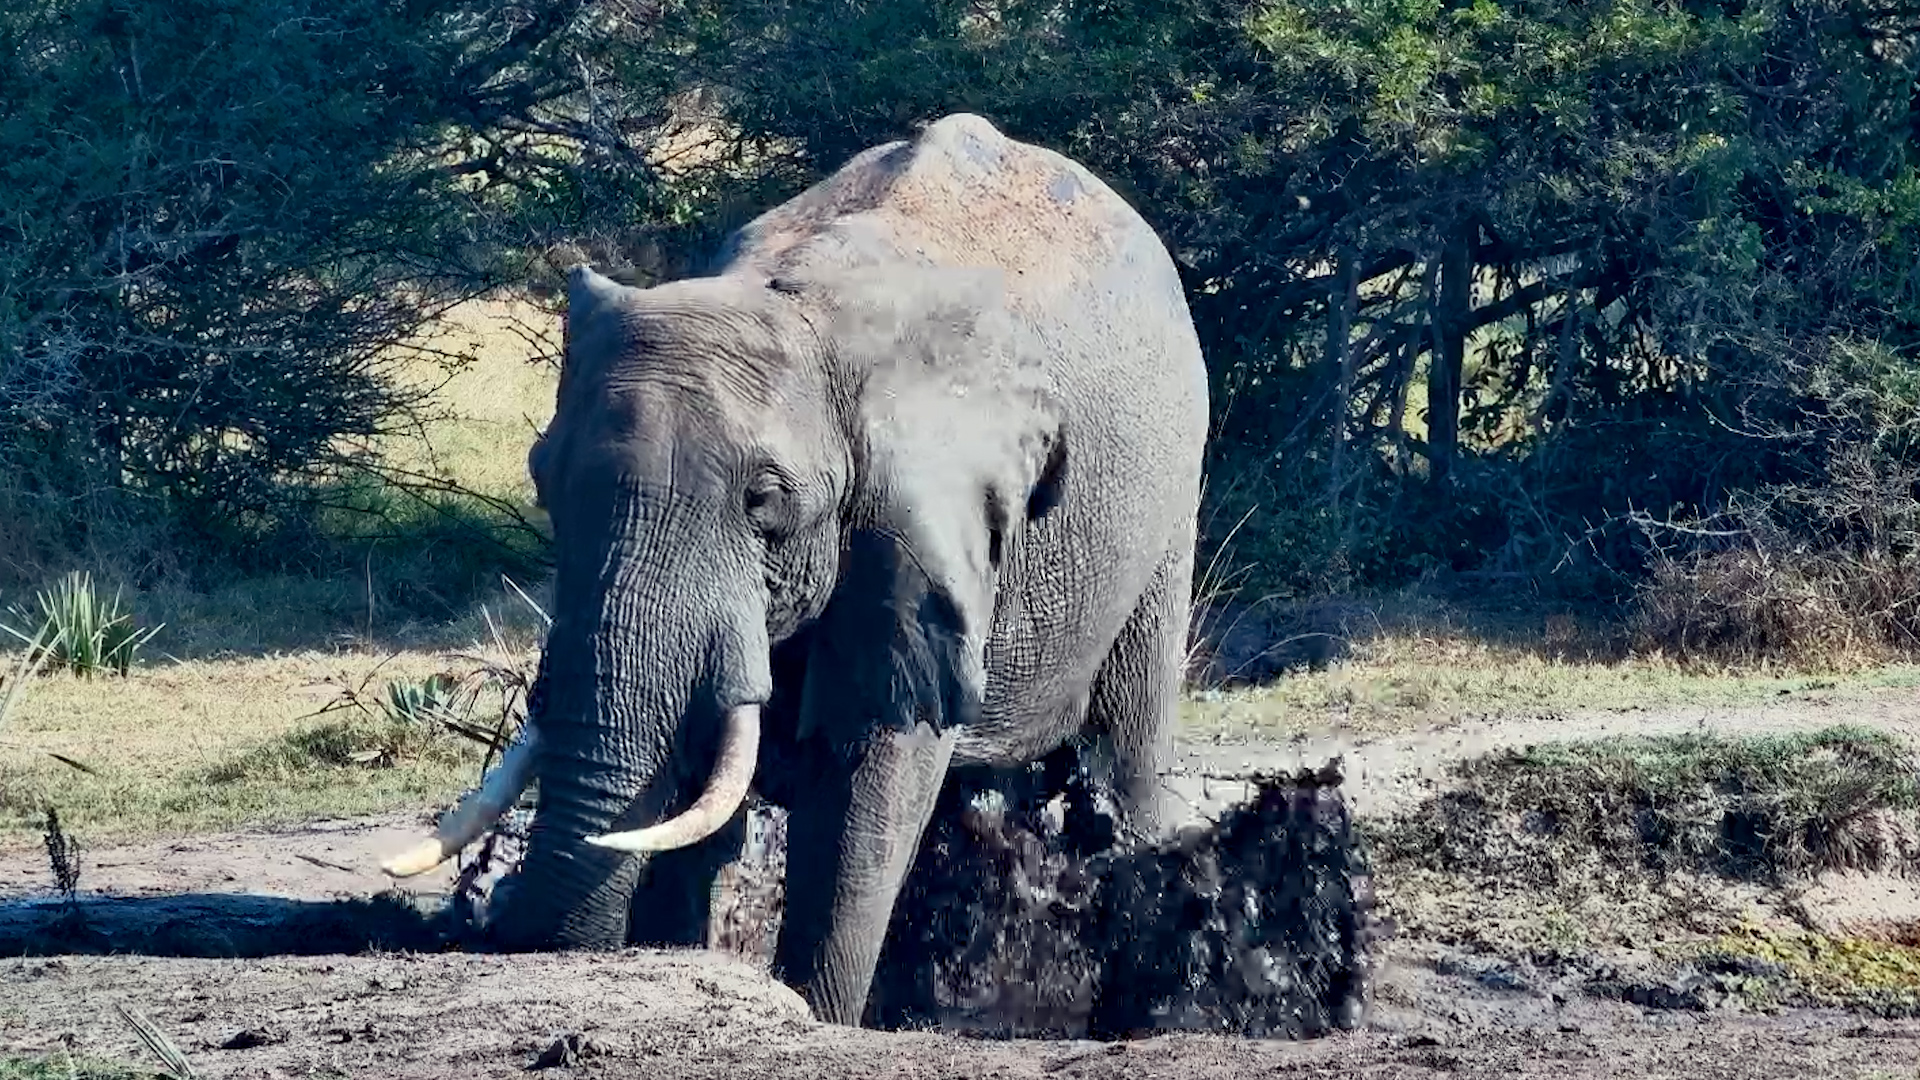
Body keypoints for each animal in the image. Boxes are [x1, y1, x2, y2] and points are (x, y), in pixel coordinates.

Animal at [380, 112, 1210, 1027]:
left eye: (764, 503)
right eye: (542, 480)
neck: (799, 314)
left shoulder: (910, 525)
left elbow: (861, 801)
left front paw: (818, 1009)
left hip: (1167, 501)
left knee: (1127, 747)